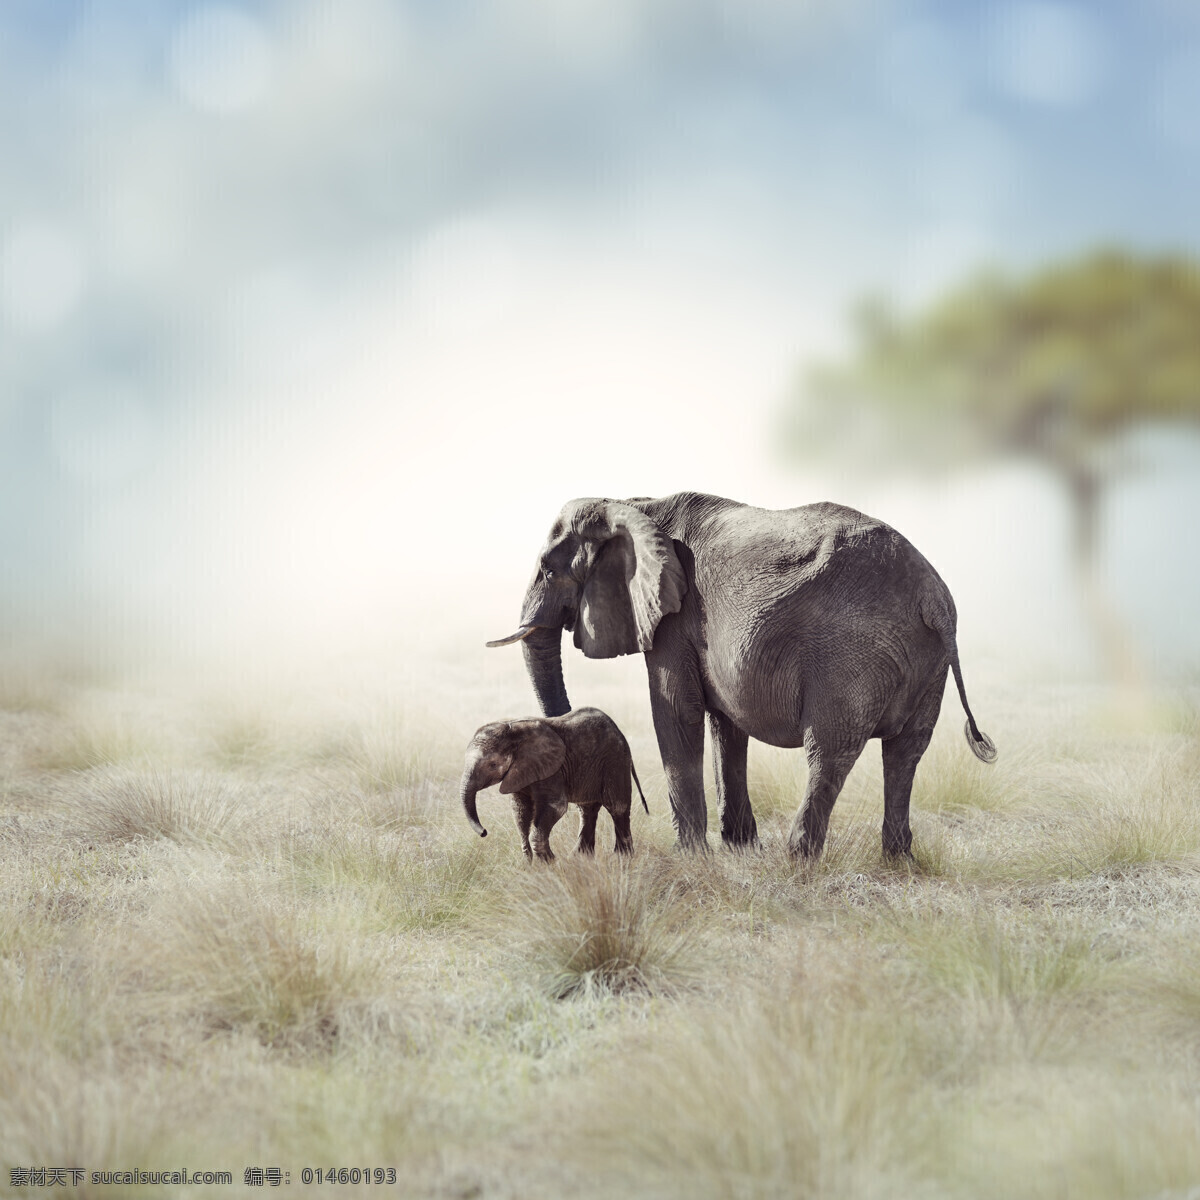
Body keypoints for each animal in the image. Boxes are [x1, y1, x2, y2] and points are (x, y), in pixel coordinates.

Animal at [459, 706, 649, 860]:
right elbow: (520, 810)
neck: (512, 729)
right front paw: (530, 862)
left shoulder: (552, 769)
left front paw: (550, 863)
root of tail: (619, 731)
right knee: (587, 809)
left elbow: (556, 806)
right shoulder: (519, 773)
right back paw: (580, 858)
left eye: (492, 765)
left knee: (617, 806)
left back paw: (622, 858)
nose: (484, 832)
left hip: (615, 761)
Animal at [487, 492, 995, 858]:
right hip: (928, 662)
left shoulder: (673, 619)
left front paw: (691, 856)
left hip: (853, 654)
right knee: (906, 753)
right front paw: (739, 849)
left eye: (548, 570)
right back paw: (897, 860)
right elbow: (725, 727)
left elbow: (677, 715)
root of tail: (934, 597)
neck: (631, 504)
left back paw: (799, 859)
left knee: (830, 750)